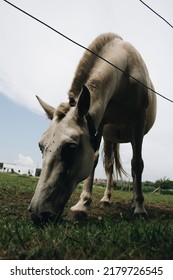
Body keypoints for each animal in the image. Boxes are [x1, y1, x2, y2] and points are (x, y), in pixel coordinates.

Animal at [28, 32, 155, 225]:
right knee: (109, 168)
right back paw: (106, 199)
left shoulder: (138, 122)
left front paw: (140, 208)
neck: (125, 72)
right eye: (41, 146)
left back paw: (134, 201)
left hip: (134, 135)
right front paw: (82, 206)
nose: (37, 213)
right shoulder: (100, 123)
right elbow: (94, 161)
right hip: (110, 138)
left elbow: (137, 164)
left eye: (71, 147)